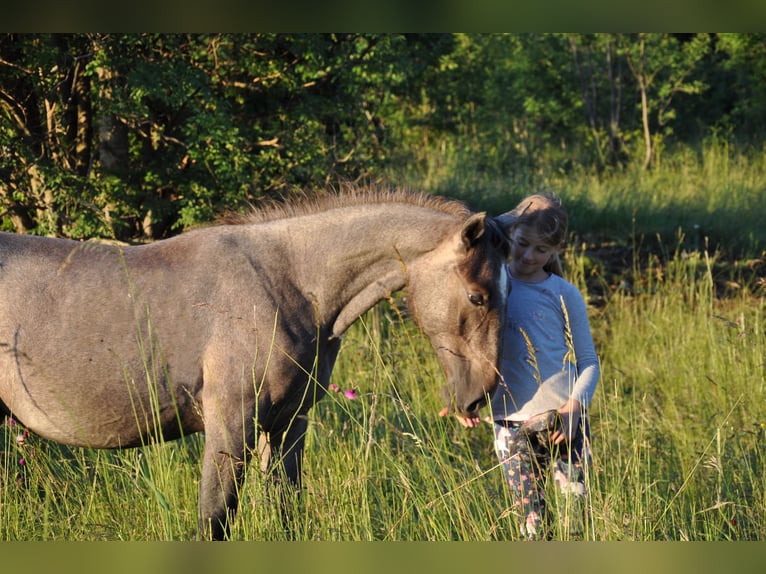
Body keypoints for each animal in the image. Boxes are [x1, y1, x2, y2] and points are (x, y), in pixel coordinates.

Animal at [1, 187, 516, 544]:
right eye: (478, 296)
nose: (479, 396)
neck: (287, 282)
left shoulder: (288, 424)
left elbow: (287, 512)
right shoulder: (231, 427)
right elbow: (215, 520)